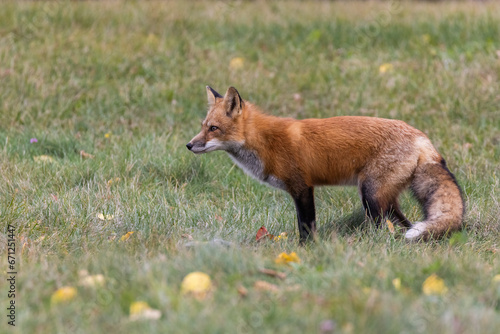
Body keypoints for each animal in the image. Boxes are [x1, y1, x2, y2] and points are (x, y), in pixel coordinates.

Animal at [188, 86, 464, 243]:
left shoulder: (302, 187)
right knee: (404, 223)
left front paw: (306, 250)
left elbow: (306, 225)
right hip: (383, 197)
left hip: (371, 195)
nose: (189, 145)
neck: (266, 142)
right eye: (203, 126)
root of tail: (422, 137)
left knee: (384, 227)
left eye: (214, 129)